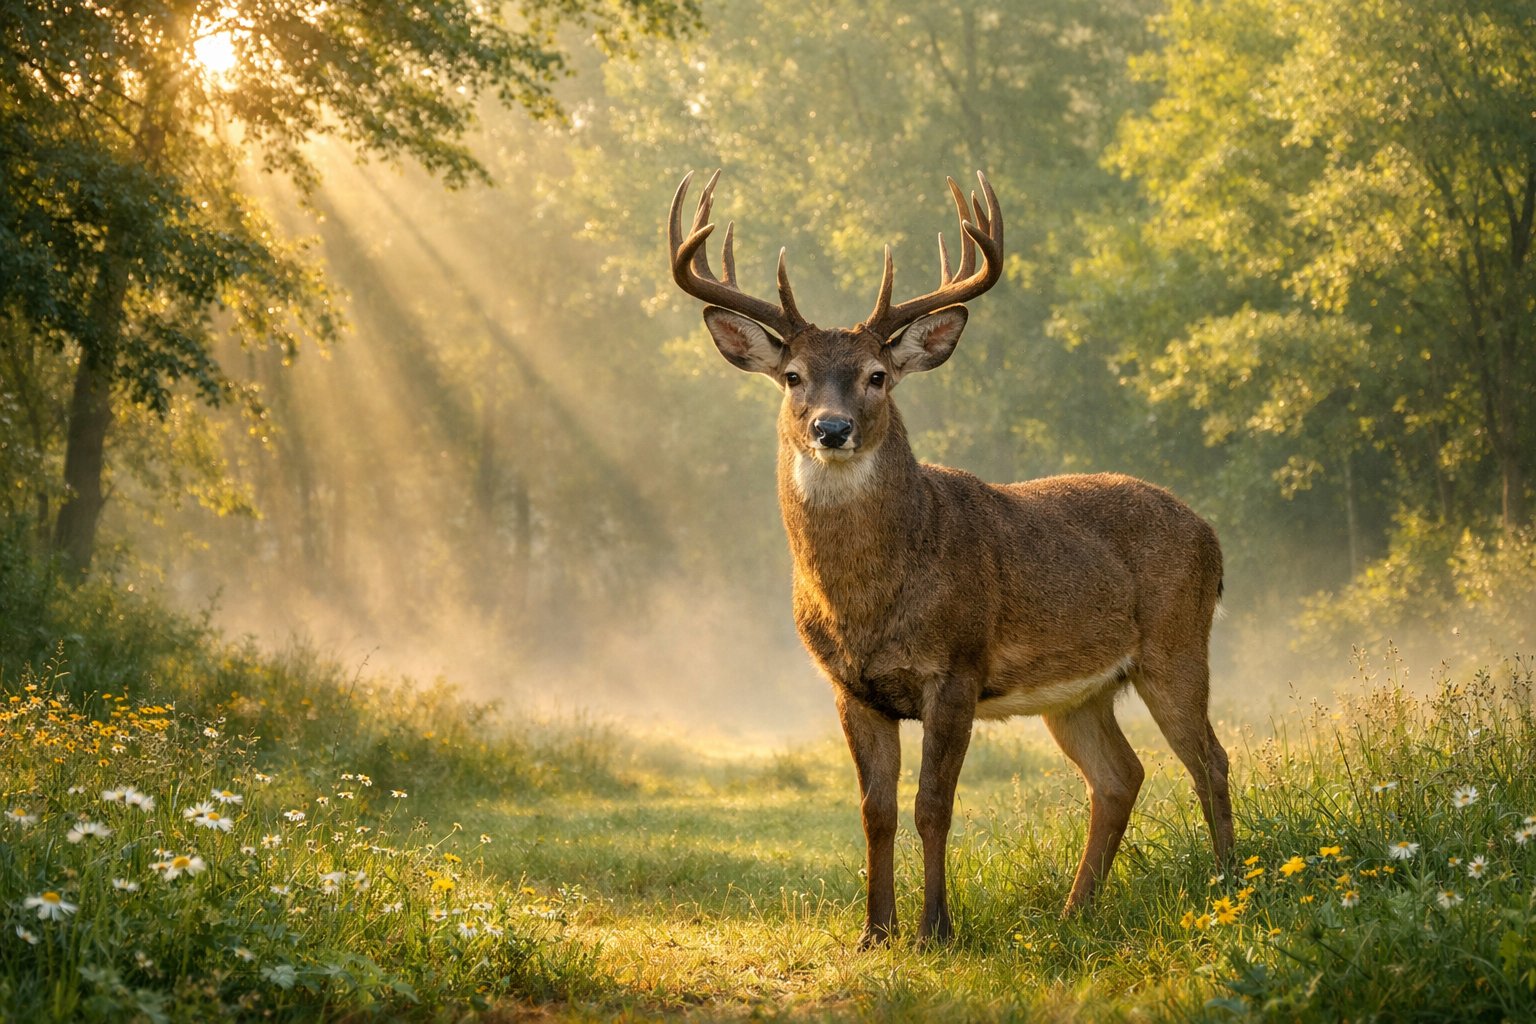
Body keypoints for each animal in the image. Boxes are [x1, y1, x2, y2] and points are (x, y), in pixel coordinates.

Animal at [666, 169, 1232, 948]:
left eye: (877, 375)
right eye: (792, 375)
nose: (832, 428)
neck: (869, 600)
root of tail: (1212, 536)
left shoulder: (957, 667)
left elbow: (933, 806)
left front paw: (936, 927)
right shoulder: (850, 687)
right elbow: (875, 811)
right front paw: (875, 931)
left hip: (1177, 643)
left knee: (1210, 760)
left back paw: (1232, 888)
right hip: (1079, 693)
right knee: (1121, 775)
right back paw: (1073, 914)